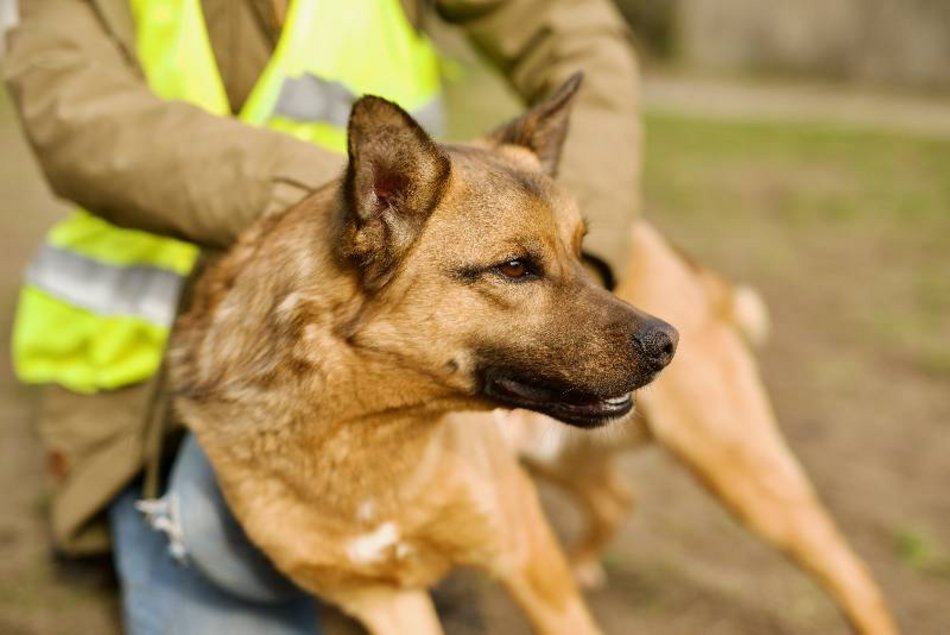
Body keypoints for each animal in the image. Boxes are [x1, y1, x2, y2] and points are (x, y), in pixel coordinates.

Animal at [169, 76, 676, 635]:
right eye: (515, 267)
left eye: (581, 252)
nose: (667, 343)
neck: (369, 431)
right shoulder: (382, 600)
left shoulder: (527, 553)